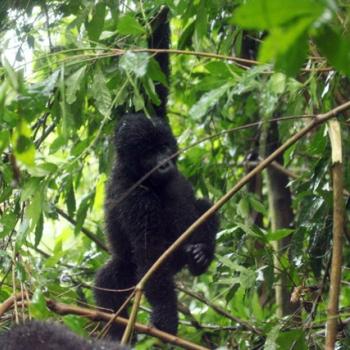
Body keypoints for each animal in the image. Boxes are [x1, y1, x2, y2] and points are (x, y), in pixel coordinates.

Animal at [93, 113, 219, 338]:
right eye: (149, 154)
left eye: (163, 147)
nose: (164, 164)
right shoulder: (134, 198)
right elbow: (150, 252)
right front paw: (165, 314)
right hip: (129, 269)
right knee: (108, 280)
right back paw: (117, 331)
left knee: (204, 205)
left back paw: (202, 255)